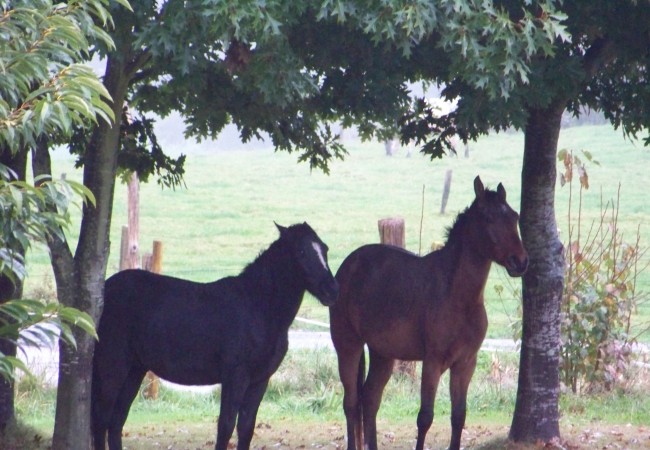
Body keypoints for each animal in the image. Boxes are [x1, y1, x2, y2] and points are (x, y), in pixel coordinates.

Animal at [92, 222, 340, 450]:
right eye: (301, 251)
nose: (331, 290)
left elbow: (246, 427)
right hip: (113, 368)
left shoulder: (259, 381)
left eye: (325, 249)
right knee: (102, 421)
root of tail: (106, 289)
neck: (257, 307)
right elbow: (226, 426)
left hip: (135, 370)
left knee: (116, 422)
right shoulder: (235, 377)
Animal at [330, 176, 528, 450]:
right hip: (348, 346)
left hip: (383, 354)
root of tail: (347, 267)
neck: (457, 296)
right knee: (351, 404)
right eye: (488, 217)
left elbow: (458, 416)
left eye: (514, 216)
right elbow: (425, 417)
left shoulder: (465, 364)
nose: (520, 261)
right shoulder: (433, 362)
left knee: (369, 400)